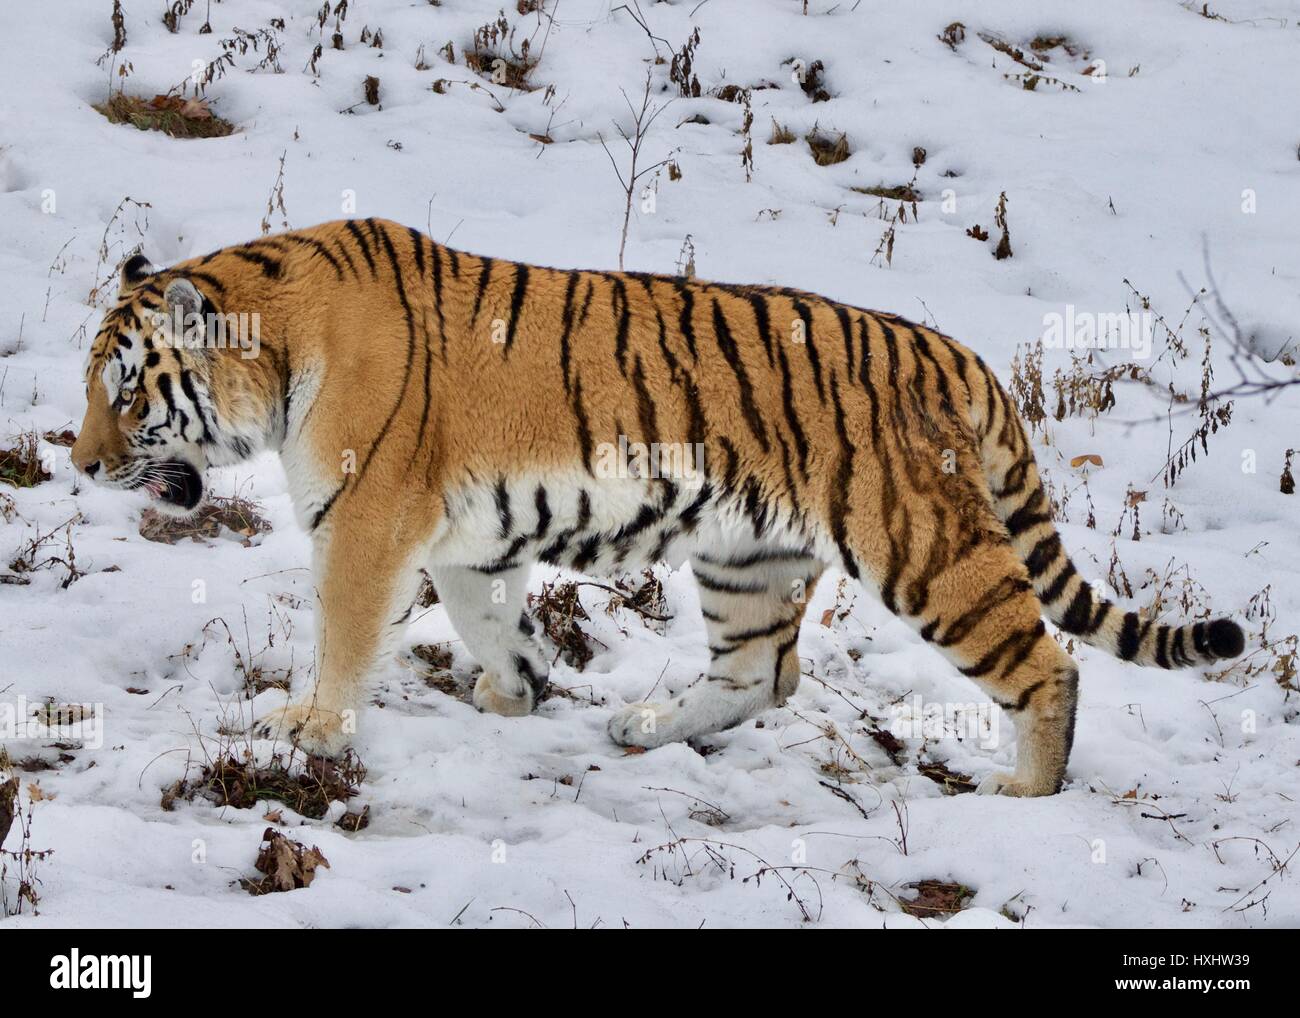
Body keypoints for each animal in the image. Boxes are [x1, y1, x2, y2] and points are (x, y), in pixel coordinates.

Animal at [70, 217, 1245, 796]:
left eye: (125, 392)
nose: (77, 465)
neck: (274, 348)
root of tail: (958, 353)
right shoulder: (460, 537)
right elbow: (490, 618)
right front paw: (517, 692)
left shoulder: (364, 521)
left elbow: (346, 633)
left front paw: (308, 725)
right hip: (745, 558)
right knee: (764, 673)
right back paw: (645, 728)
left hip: (925, 548)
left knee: (1046, 664)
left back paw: (1024, 798)